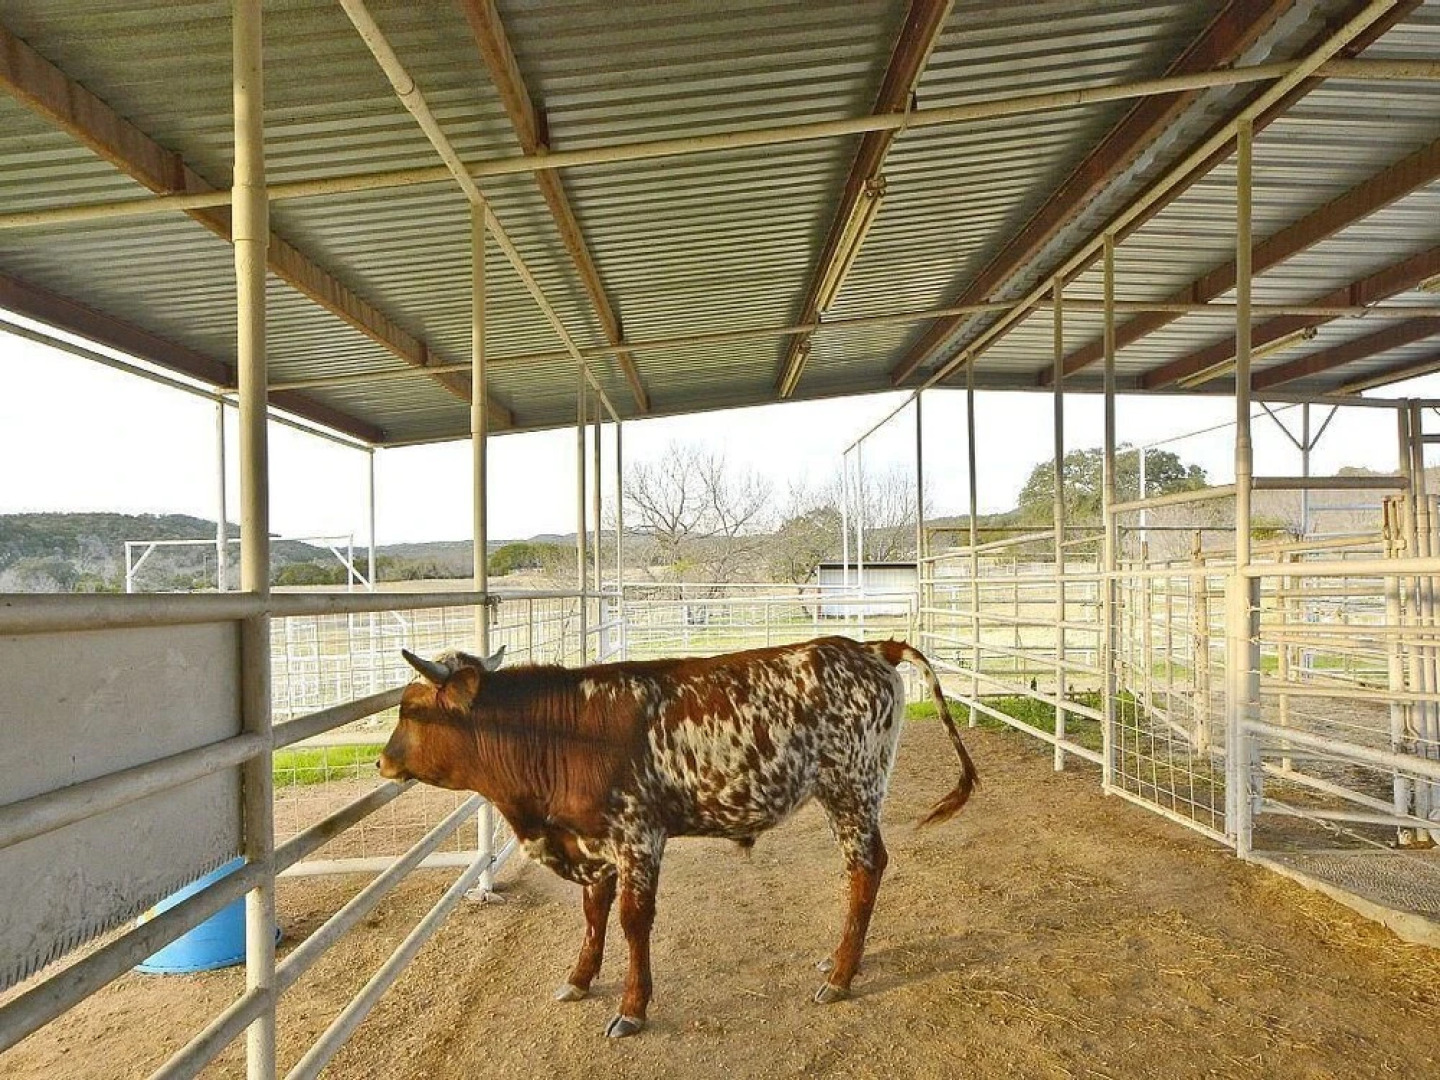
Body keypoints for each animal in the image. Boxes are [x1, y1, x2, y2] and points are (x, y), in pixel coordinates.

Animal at [378, 636, 977, 1038]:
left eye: (410, 709)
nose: (382, 761)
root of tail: (868, 645)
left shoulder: (639, 833)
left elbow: (632, 919)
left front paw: (632, 1008)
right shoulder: (591, 841)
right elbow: (594, 910)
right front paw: (580, 978)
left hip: (852, 789)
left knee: (866, 867)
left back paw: (843, 974)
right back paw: (835, 962)